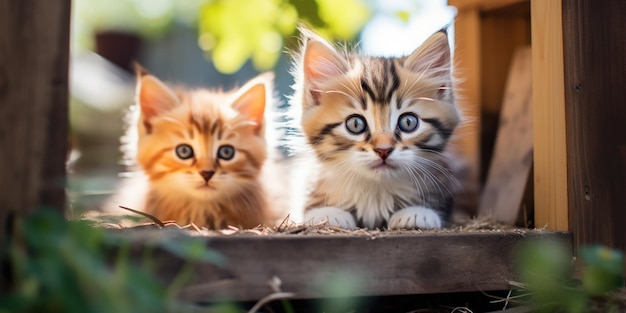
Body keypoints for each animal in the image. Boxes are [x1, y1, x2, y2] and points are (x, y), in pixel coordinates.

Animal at [290, 28, 460, 229]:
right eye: (355, 124)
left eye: (408, 122)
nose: (383, 150)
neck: (376, 192)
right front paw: (327, 213)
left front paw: (417, 212)